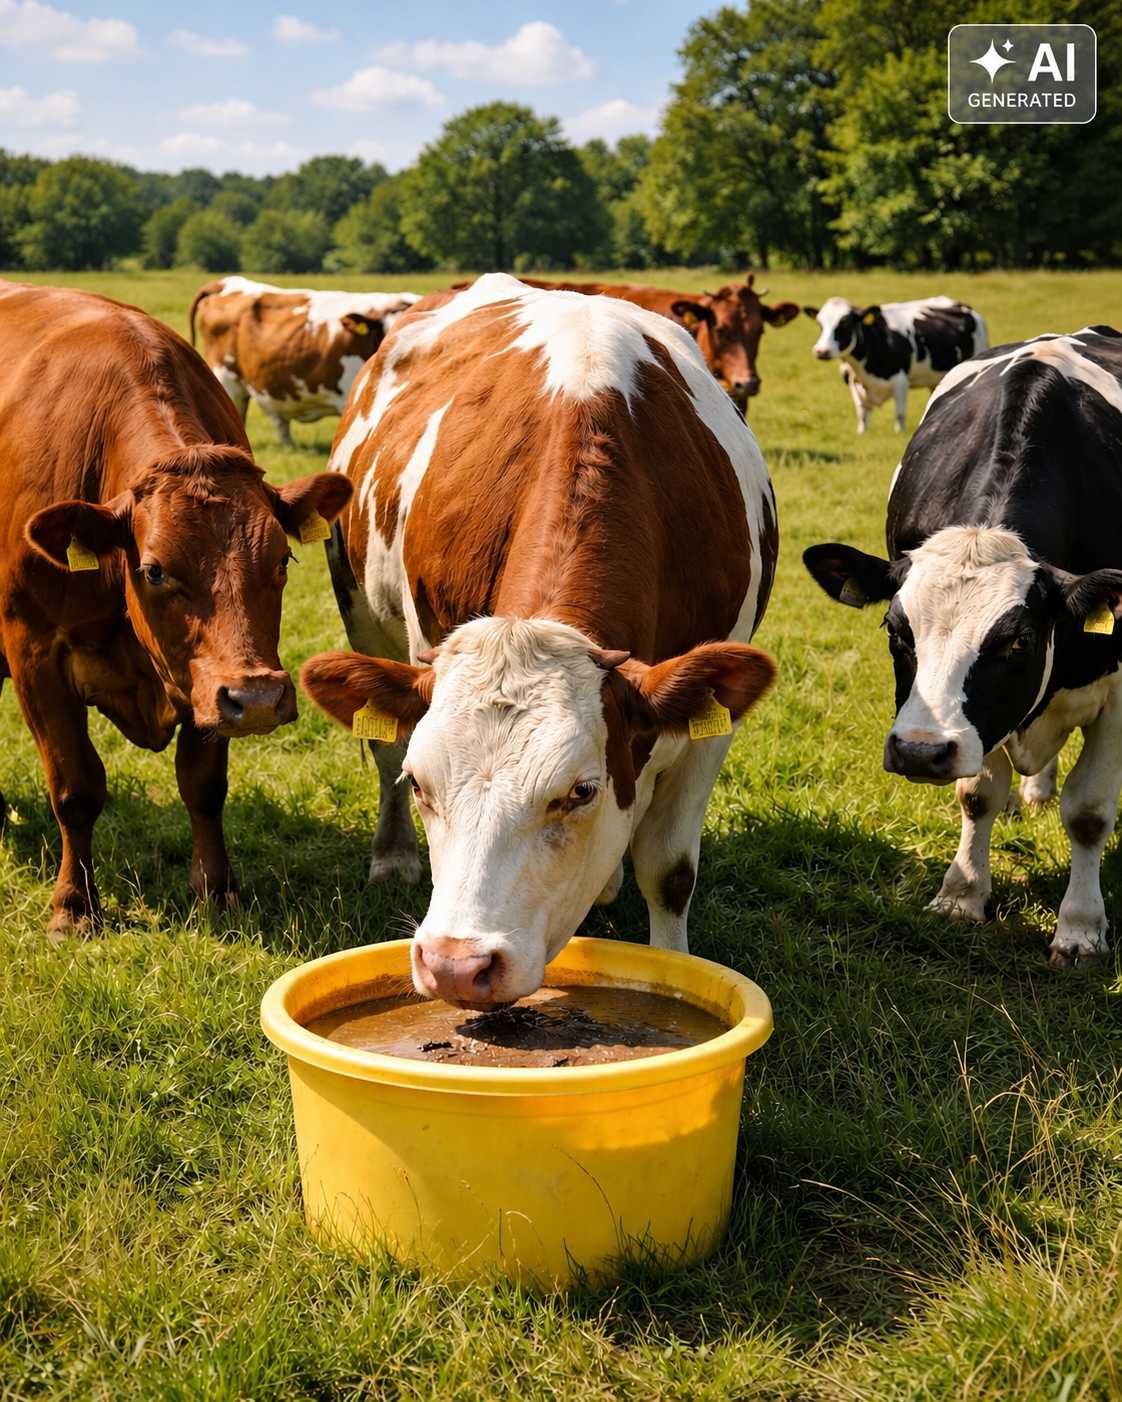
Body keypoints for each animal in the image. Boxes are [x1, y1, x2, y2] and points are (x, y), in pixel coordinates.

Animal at [0, 279, 352, 937]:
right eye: (155, 569)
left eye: (283, 560)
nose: (259, 698)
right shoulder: (34, 654)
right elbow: (75, 787)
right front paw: (73, 908)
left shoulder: (208, 682)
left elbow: (204, 787)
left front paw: (215, 892)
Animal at [803, 295, 988, 433]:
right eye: (820, 325)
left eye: (845, 323)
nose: (821, 351)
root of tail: (962, 305)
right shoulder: (852, 382)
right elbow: (862, 414)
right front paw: (862, 433)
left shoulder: (900, 381)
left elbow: (899, 415)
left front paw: (899, 433)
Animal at [803, 325, 1122, 968]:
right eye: (896, 631)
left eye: (1019, 640)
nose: (919, 752)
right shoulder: (980, 725)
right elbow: (977, 793)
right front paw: (962, 894)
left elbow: (1089, 812)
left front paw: (1080, 928)